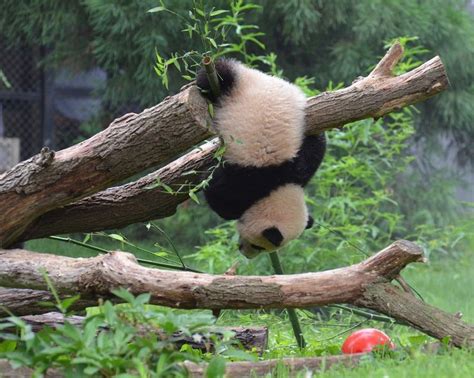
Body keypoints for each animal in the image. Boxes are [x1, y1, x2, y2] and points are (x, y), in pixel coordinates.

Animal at [196, 59, 326, 258]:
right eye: (260, 246)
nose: (244, 252)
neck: (279, 187)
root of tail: (256, 76)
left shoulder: (297, 168)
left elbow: (313, 151)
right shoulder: (252, 180)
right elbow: (221, 197)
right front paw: (207, 175)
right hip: (227, 84)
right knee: (215, 75)